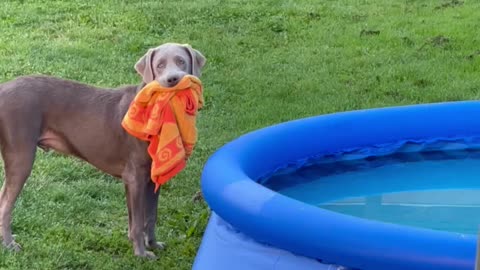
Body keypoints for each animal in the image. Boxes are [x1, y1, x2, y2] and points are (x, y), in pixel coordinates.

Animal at [0, 43, 204, 258]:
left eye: (181, 61)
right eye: (160, 65)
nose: (172, 79)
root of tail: (4, 88)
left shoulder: (150, 177)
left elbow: (150, 216)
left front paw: (153, 244)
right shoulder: (135, 177)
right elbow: (138, 221)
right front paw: (141, 254)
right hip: (21, 156)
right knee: (5, 204)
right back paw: (10, 244)